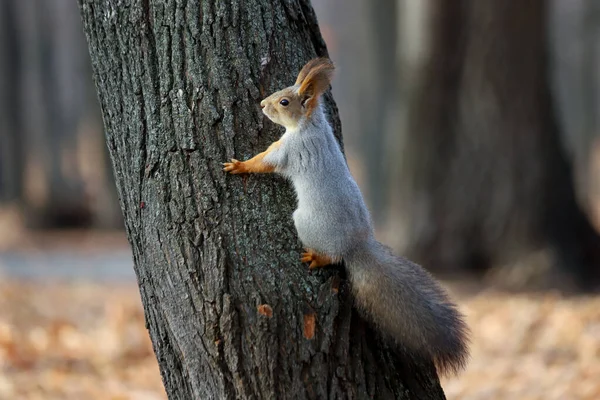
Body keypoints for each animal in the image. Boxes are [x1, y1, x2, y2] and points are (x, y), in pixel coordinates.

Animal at [224, 57, 468, 376]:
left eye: (284, 101)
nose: (263, 104)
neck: (309, 125)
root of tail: (355, 244)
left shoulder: (289, 150)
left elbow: (264, 162)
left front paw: (239, 165)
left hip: (306, 223)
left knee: (332, 257)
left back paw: (316, 257)